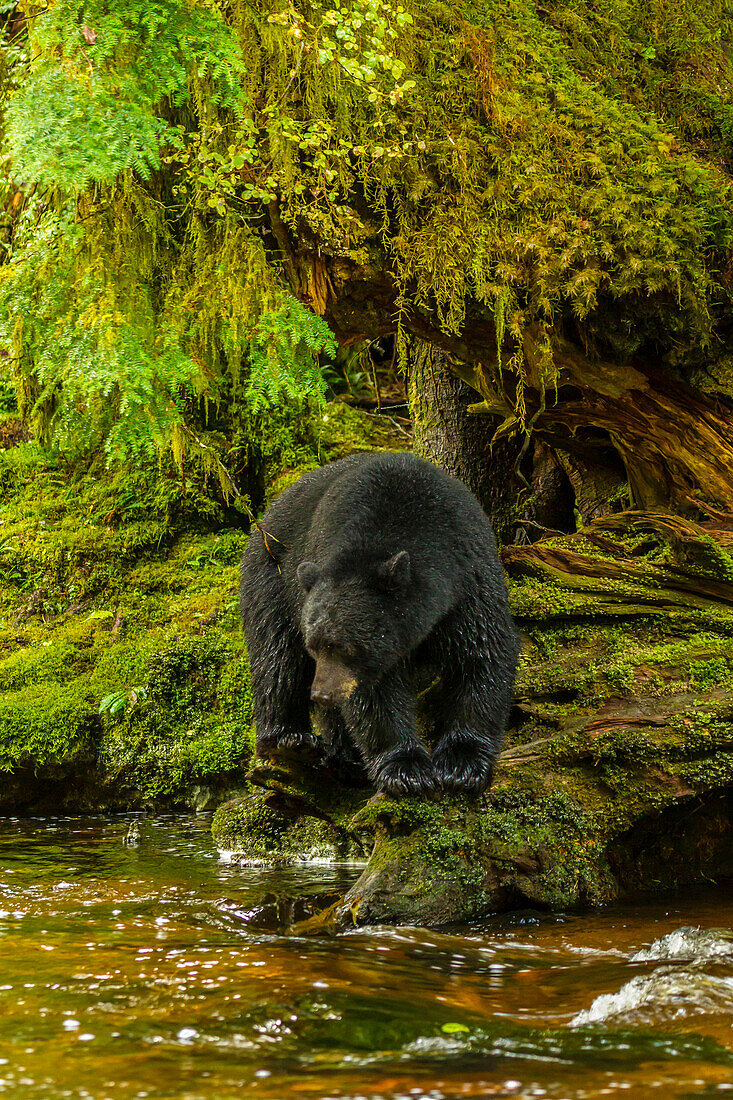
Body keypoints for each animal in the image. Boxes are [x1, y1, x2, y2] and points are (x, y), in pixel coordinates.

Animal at [239, 451, 519, 796]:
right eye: (315, 645)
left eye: (341, 646)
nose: (322, 695)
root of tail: (266, 514)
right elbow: (375, 696)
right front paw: (406, 769)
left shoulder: (469, 578)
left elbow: (480, 655)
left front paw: (461, 763)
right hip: (272, 582)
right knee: (277, 659)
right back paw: (291, 738)